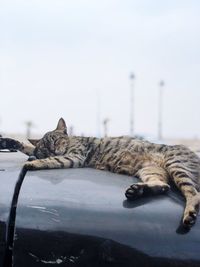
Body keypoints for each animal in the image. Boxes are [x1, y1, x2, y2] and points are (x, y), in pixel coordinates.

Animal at [0, 118, 200, 229]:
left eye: (56, 141)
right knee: (164, 186)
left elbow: (50, 160)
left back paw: (189, 214)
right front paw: (11, 142)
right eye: (46, 147)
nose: (54, 150)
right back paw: (137, 191)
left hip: (177, 166)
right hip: (149, 170)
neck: (72, 140)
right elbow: (29, 148)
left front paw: (31, 163)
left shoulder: (74, 156)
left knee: (194, 193)